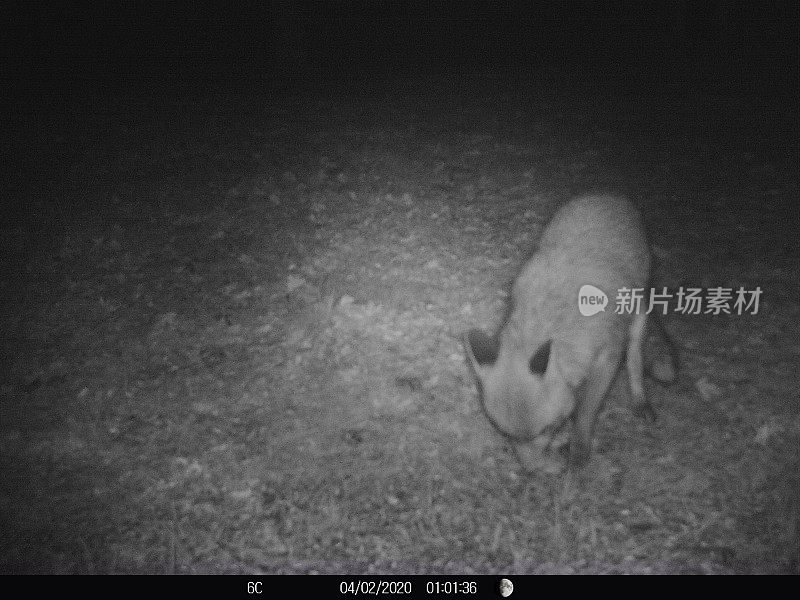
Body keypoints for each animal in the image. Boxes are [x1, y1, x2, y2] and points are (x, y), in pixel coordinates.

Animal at [462, 195, 676, 472]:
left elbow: (586, 411)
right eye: (504, 433)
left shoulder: (609, 355)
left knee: (635, 357)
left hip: (637, 312)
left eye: (547, 428)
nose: (530, 472)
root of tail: (608, 194)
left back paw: (640, 399)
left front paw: (579, 449)